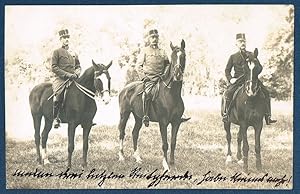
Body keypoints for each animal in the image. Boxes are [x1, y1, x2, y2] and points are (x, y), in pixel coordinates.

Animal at [118, 39, 190, 171]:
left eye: (183, 56)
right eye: (172, 57)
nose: (177, 75)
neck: (171, 94)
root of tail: (125, 88)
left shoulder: (176, 122)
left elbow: (173, 142)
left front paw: (172, 163)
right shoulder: (163, 122)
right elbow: (165, 144)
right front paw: (166, 165)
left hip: (138, 118)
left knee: (134, 133)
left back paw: (138, 158)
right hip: (124, 115)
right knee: (122, 132)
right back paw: (121, 156)